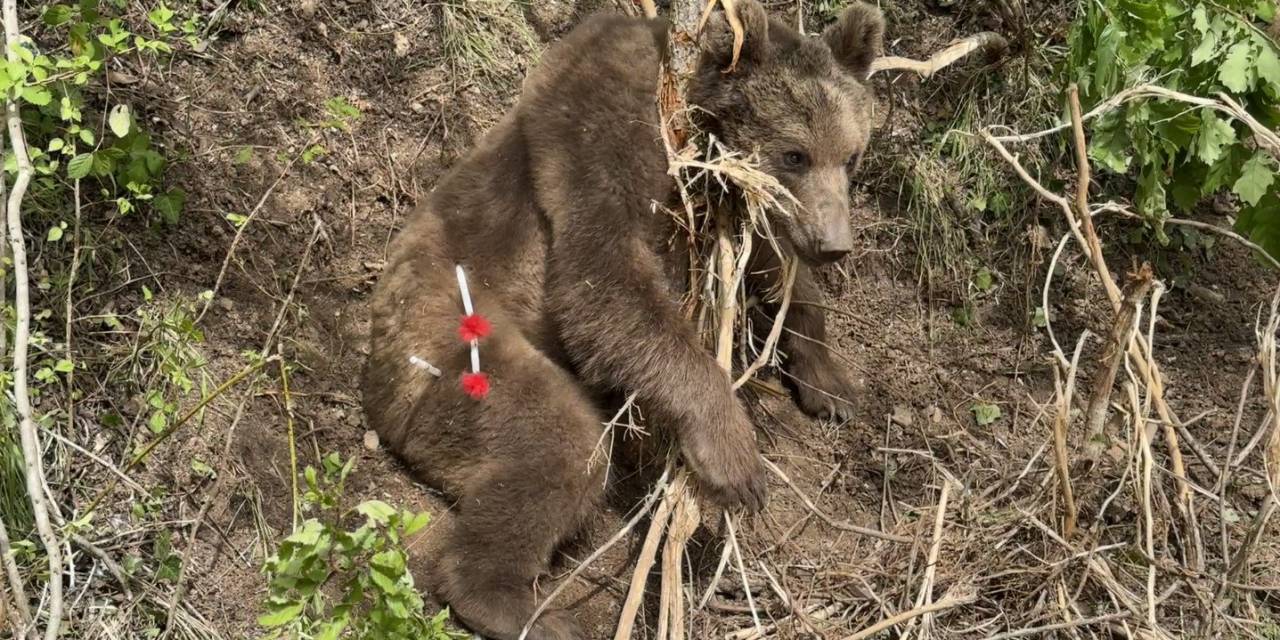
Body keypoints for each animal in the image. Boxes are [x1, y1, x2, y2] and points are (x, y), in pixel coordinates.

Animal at [360, 2, 880, 637]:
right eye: (794, 154)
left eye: (851, 155)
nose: (834, 244)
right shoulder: (605, 126)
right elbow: (604, 278)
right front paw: (735, 457)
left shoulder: (726, 202)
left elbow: (773, 265)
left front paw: (830, 383)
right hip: (450, 342)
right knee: (559, 445)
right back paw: (517, 606)